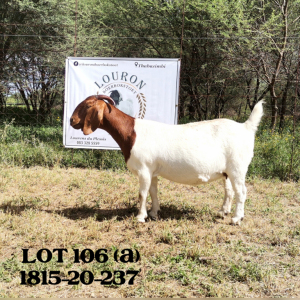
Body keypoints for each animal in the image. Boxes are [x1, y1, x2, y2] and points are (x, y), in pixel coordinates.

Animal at [69, 95, 262, 224]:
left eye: (87, 104)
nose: (71, 120)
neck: (132, 133)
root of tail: (245, 127)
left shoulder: (143, 169)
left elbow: (142, 193)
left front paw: (140, 217)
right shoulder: (152, 171)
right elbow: (153, 191)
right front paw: (154, 213)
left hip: (238, 167)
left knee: (241, 192)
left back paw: (236, 218)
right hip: (227, 171)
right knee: (229, 191)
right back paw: (223, 212)